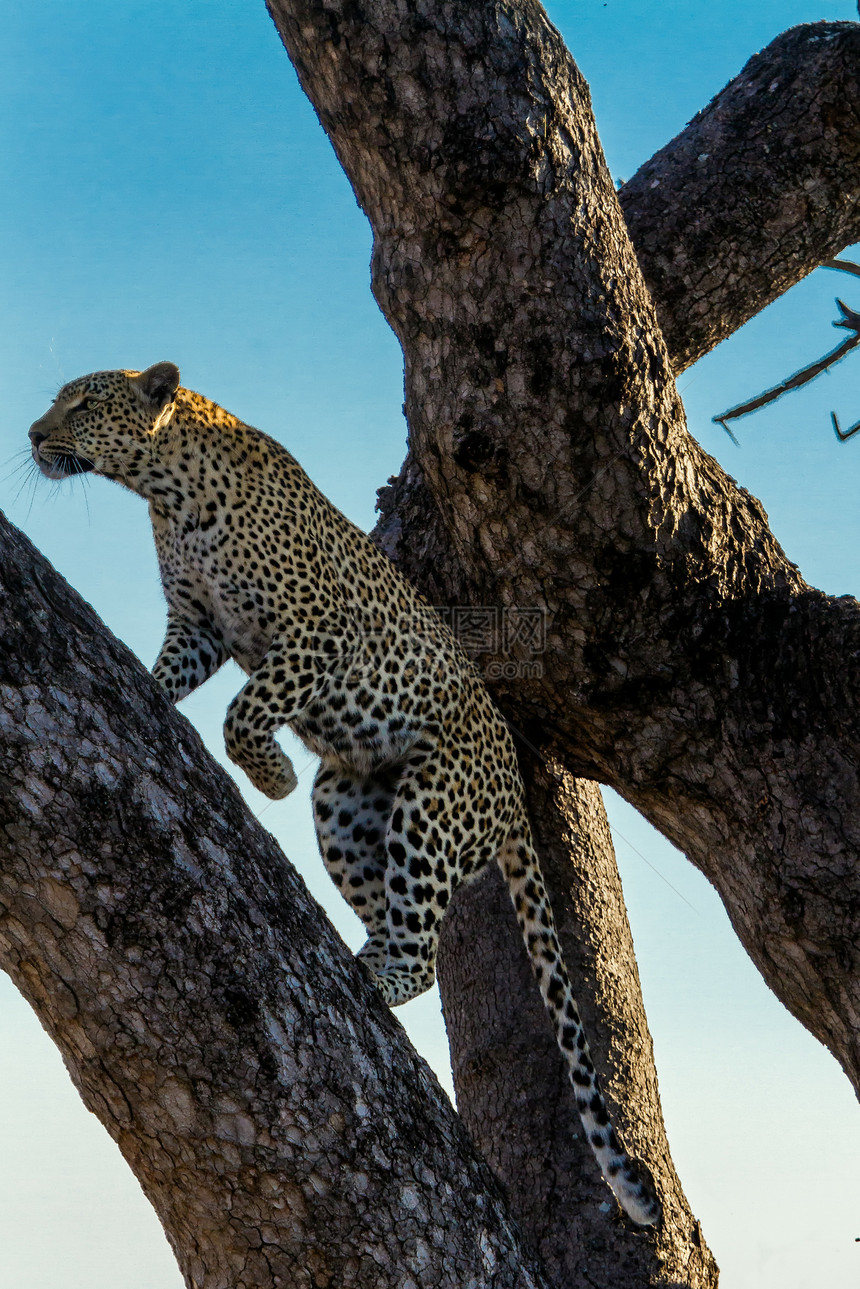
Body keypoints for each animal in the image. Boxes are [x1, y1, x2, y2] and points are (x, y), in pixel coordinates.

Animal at [26, 358, 660, 1221]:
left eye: (84, 402)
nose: (32, 435)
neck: (165, 492)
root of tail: (512, 791)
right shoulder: (198, 625)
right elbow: (176, 677)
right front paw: (151, 692)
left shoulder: (315, 637)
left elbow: (243, 712)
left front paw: (270, 774)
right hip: (349, 806)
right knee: (392, 915)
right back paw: (359, 956)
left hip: (431, 805)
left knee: (423, 948)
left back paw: (372, 971)